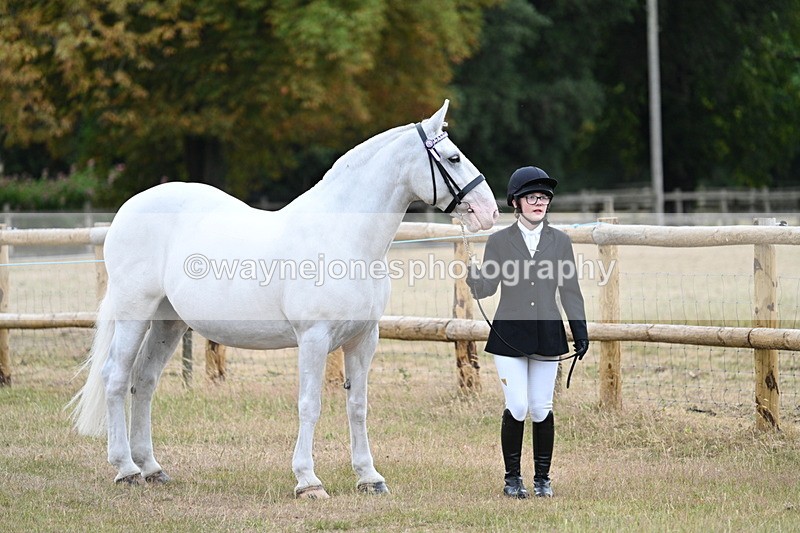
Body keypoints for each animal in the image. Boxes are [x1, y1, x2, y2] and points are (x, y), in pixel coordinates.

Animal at [69, 100, 498, 499]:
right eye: (453, 157)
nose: (489, 211)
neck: (345, 239)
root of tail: (128, 209)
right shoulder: (314, 338)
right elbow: (310, 405)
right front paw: (308, 481)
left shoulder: (364, 339)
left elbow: (357, 406)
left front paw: (369, 477)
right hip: (134, 312)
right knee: (116, 377)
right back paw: (126, 469)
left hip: (168, 321)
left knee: (144, 381)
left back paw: (152, 468)